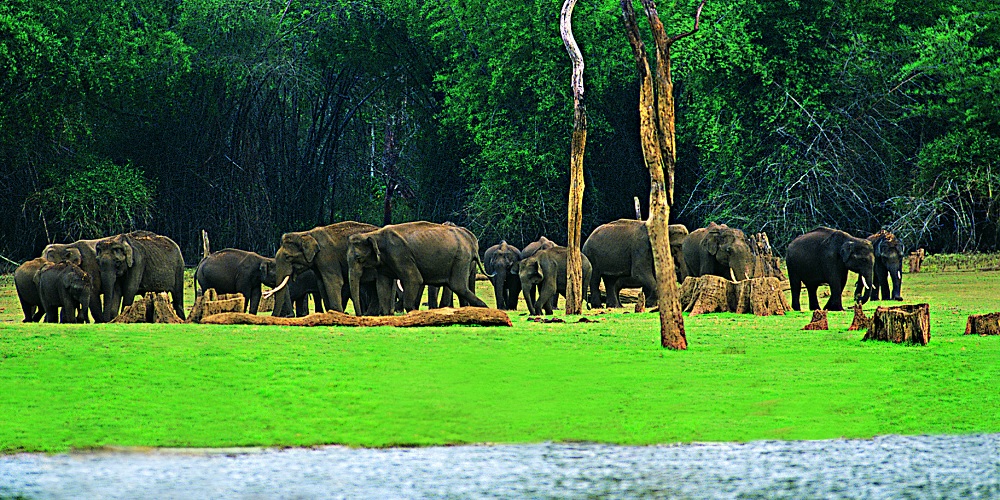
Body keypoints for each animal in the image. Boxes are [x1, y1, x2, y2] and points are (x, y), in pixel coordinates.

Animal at [348, 221, 488, 314]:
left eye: (358, 257)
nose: (360, 315)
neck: (374, 234)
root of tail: (471, 240)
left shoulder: (400, 254)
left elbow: (414, 280)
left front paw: (412, 313)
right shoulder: (384, 263)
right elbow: (382, 285)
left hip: (461, 258)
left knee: (458, 286)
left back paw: (484, 308)